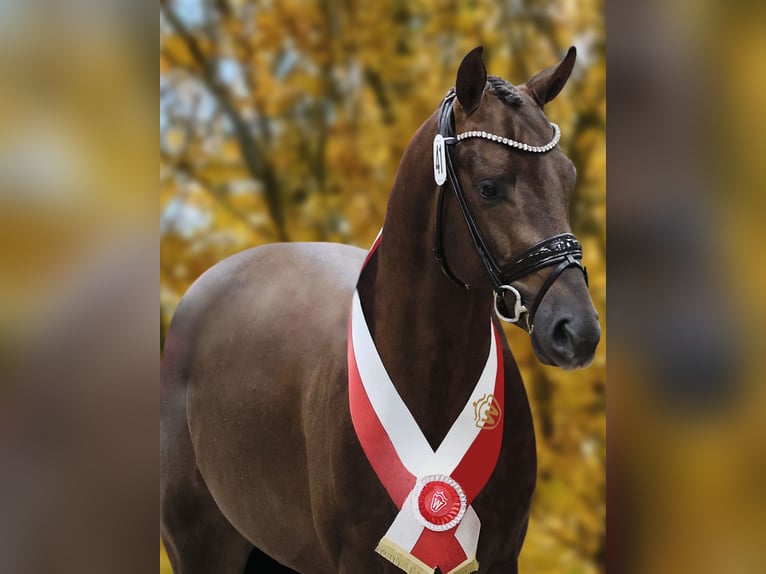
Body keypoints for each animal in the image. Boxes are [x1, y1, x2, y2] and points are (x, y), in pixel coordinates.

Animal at [162, 46, 604, 574]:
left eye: (568, 177)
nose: (576, 330)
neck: (429, 382)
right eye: (490, 187)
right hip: (201, 543)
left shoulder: (502, 557)